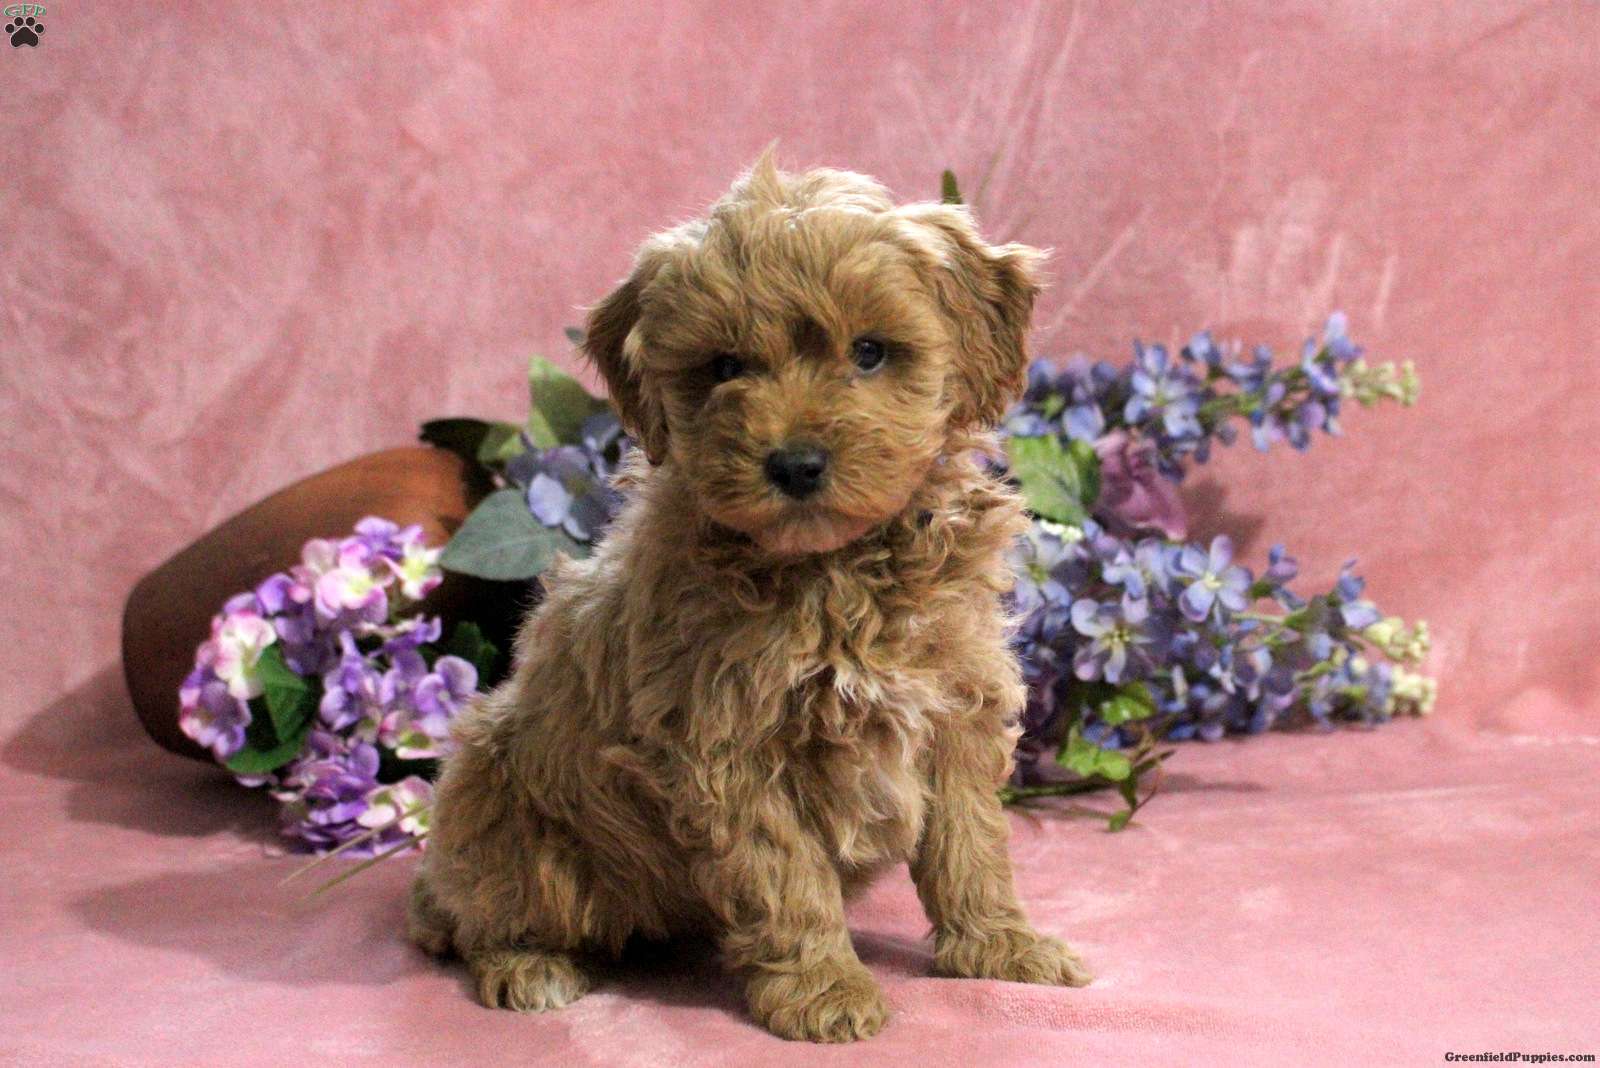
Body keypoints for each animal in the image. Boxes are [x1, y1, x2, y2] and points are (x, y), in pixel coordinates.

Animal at [408, 154, 1091, 1043]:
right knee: (485, 914)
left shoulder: (955, 708)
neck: (835, 570)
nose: (795, 464)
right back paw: (526, 966)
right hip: (506, 815)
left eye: (869, 352)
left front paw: (1002, 948)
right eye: (726, 368)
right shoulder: (728, 745)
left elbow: (970, 843)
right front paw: (825, 989)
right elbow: (787, 876)